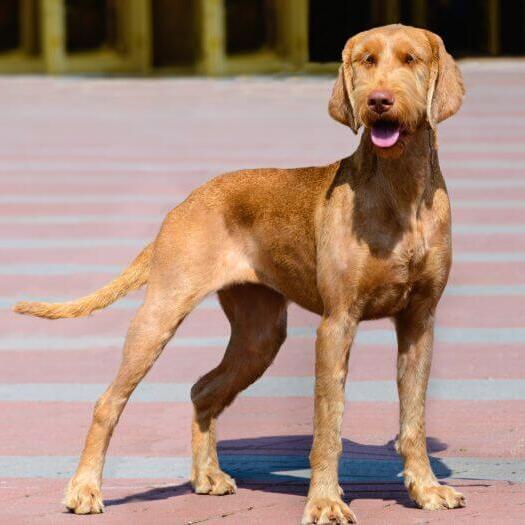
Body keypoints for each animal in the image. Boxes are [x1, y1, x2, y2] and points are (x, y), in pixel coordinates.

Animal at [14, 23, 462, 524]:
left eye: (410, 59)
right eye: (366, 60)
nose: (379, 101)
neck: (399, 189)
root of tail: (183, 204)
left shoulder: (419, 321)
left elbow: (413, 418)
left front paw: (426, 489)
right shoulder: (337, 323)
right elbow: (328, 423)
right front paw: (325, 500)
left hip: (259, 334)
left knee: (203, 389)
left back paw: (206, 476)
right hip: (160, 314)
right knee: (108, 401)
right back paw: (84, 489)